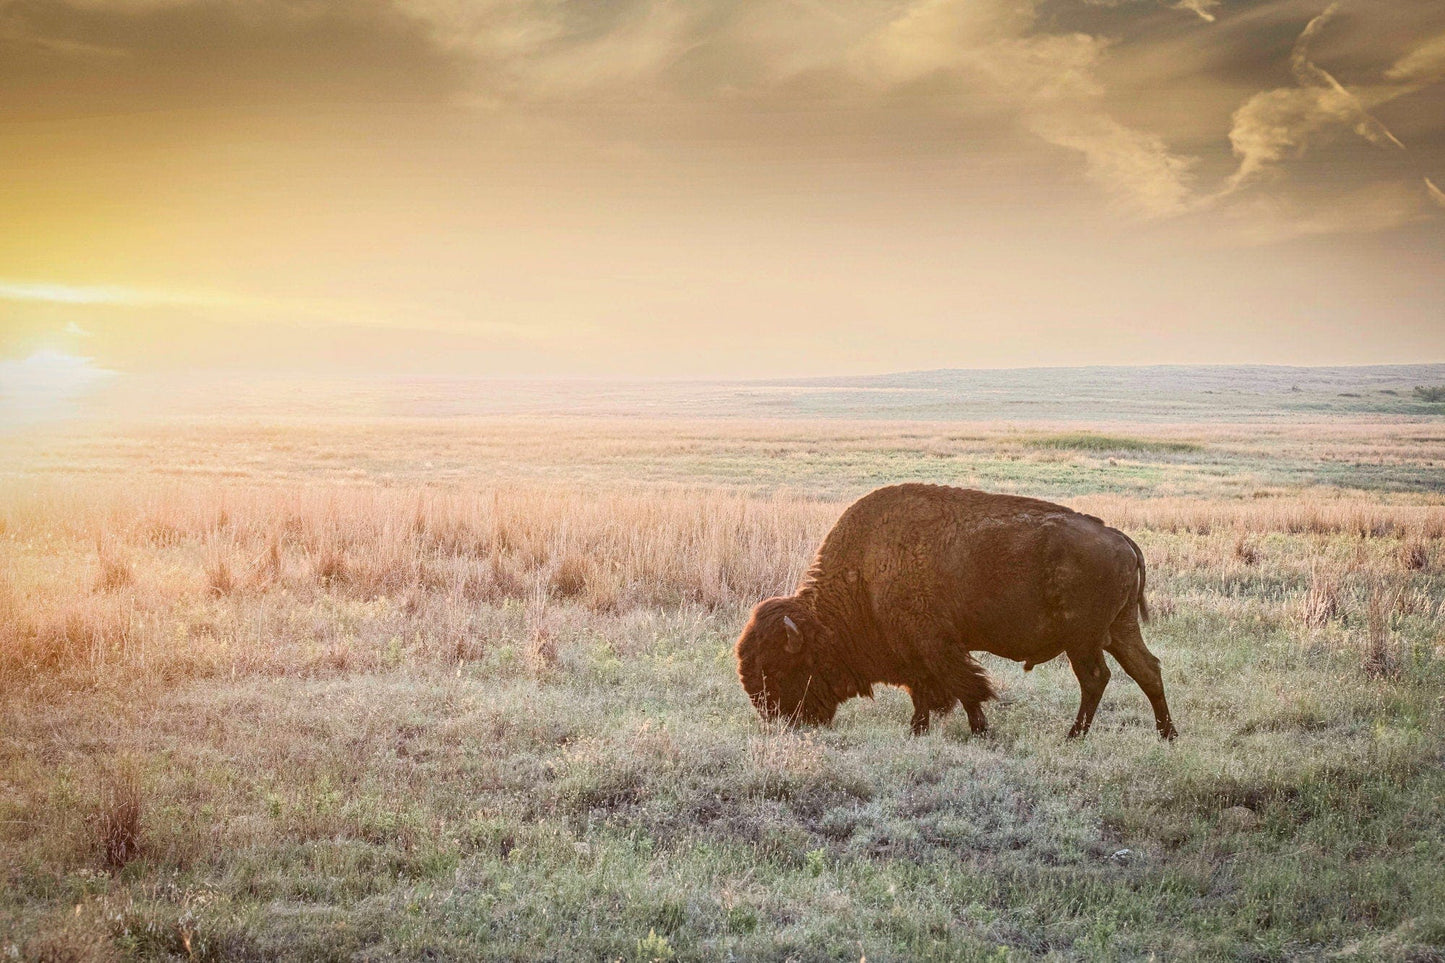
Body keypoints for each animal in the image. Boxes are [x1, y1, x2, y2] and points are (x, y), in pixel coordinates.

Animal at [734, 482, 1173, 737]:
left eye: (780, 668)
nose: (779, 719)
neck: (866, 573)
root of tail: (1120, 538)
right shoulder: (915, 652)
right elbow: (925, 691)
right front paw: (919, 729)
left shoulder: (934, 644)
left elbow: (964, 687)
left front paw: (978, 731)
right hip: (1119, 629)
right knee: (1147, 670)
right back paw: (1166, 734)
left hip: (1083, 640)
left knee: (1096, 679)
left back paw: (1074, 735)